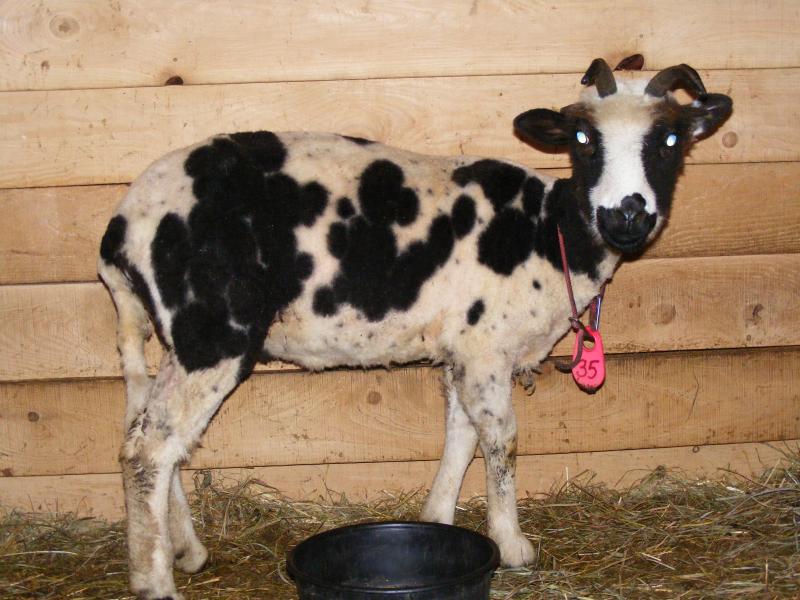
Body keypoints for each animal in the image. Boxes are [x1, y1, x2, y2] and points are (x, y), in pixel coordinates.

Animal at [98, 57, 732, 599]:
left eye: (671, 140)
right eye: (582, 139)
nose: (626, 215)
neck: (552, 235)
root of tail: (122, 230)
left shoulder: (462, 352)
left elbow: (460, 436)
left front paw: (439, 519)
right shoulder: (485, 348)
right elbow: (501, 440)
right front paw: (513, 545)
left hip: (172, 334)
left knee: (143, 433)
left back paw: (183, 550)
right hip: (213, 332)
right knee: (151, 448)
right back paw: (154, 582)